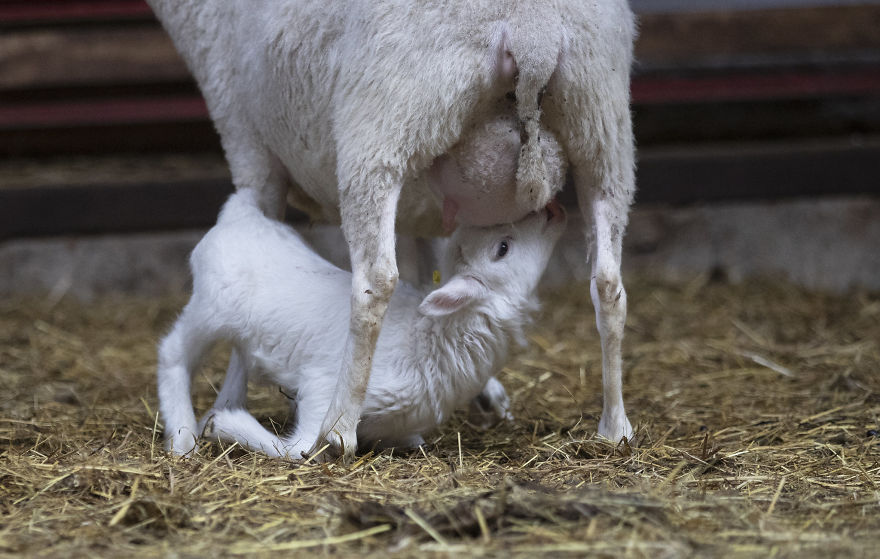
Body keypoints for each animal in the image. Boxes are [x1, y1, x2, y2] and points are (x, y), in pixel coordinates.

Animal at [158, 190, 566, 458]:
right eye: (503, 248)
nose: (552, 209)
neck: (426, 340)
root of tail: (241, 214)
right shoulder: (323, 394)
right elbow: (297, 450)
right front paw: (225, 427)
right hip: (209, 307)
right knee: (172, 353)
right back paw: (183, 437)